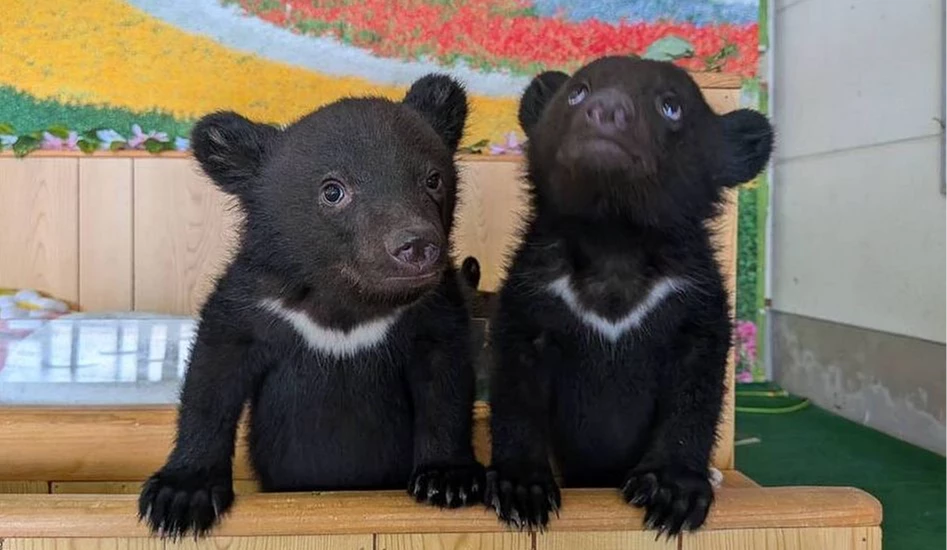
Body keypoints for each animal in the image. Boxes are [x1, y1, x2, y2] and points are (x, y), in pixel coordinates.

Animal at [138, 74, 484, 539]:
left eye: (432, 179)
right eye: (333, 190)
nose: (415, 246)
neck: (346, 300)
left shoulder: (430, 310)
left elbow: (445, 379)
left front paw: (448, 479)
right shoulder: (255, 305)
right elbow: (212, 377)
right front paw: (181, 495)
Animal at [483, 56, 774, 536]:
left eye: (671, 106)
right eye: (577, 92)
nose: (605, 111)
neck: (615, 238)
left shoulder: (692, 303)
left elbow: (695, 391)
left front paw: (673, 494)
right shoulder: (535, 293)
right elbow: (515, 381)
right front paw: (521, 490)